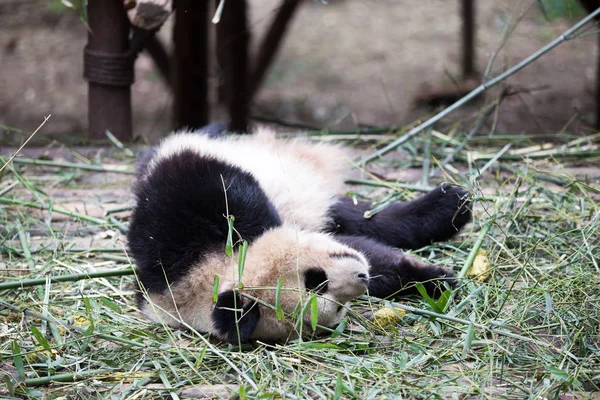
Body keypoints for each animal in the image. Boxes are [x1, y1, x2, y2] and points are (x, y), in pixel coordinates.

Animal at [127, 126, 474, 344]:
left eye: (315, 279)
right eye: (335, 306)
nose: (361, 277)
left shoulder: (173, 218)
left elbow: (225, 193)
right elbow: (374, 256)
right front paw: (431, 279)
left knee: (360, 214)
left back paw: (452, 204)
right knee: (362, 224)